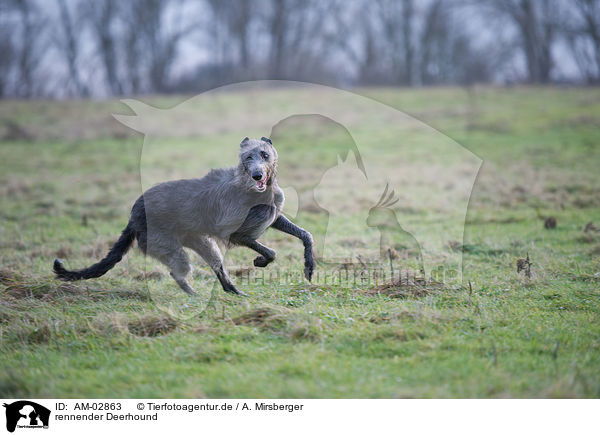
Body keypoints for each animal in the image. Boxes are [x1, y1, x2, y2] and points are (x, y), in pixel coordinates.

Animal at [54, 138, 316, 298]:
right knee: (177, 271)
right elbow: (271, 252)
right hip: (170, 247)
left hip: (202, 243)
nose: (257, 175)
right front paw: (261, 261)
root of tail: (133, 214)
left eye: (264, 154)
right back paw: (194, 294)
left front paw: (309, 266)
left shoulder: (274, 217)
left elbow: (306, 235)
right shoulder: (235, 233)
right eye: (247, 158)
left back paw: (233, 292)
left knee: (217, 267)